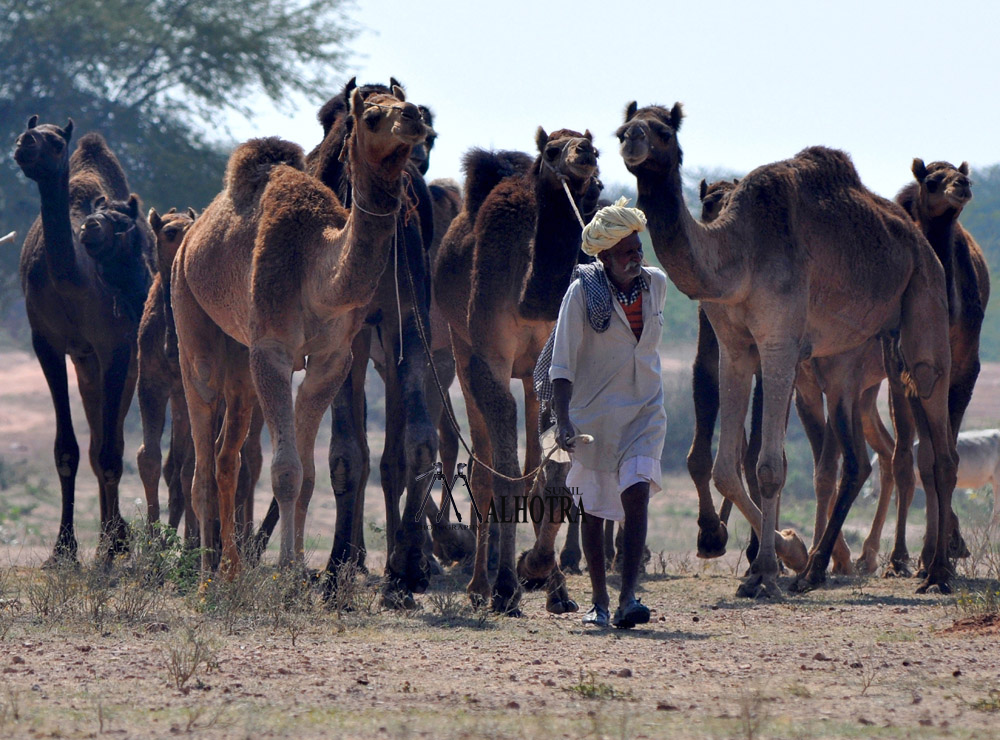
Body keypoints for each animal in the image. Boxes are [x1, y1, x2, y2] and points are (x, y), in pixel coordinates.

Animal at [14, 118, 153, 564]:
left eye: (58, 142)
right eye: (29, 132)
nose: (24, 143)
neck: (74, 279)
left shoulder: (116, 346)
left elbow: (110, 452)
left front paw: (108, 548)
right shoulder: (46, 343)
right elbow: (68, 451)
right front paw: (62, 550)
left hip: (124, 360)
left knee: (112, 442)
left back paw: (116, 538)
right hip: (86, 363)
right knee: (94, 443)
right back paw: (113, 533)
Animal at [172, 85, 430, 580]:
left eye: (407, 103)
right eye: (371, 116)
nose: (412, 115)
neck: (318, 269)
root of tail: (193, 234)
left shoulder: (332, 358)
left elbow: (309, 474)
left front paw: (293, 572)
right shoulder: (272, 351)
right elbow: (286, 470)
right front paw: (287, 572)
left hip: (241, 354)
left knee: (226, 455)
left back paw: (232, 568)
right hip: (191, 318)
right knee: (201, 442)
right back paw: (206, 574)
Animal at [434, 127, 596, 612]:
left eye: (592, 142)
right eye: (552, 149)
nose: (585, 154)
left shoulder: (555, 353)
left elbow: (552, 473)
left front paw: (539, 570)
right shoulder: (487, 357)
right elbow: (501, 470)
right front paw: (506, 585)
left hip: (528, 374)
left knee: (532, 459)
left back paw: (553, 586)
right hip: (461, 345)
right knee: (485, 465)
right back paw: (479, 585)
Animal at [620, 101, 956, 596]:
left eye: (663, 131)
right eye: (622, 127)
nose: (632, 141)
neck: (739, 256)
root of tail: (917, 238)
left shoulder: (779, 341)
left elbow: (768, 466)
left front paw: (767, 569)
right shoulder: (735, 347)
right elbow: (726, 468)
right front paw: (785, 552)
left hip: (924, 292)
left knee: (934, 411)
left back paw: (936, 574)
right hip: (856, 352)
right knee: (870, 452)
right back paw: (841, 565)